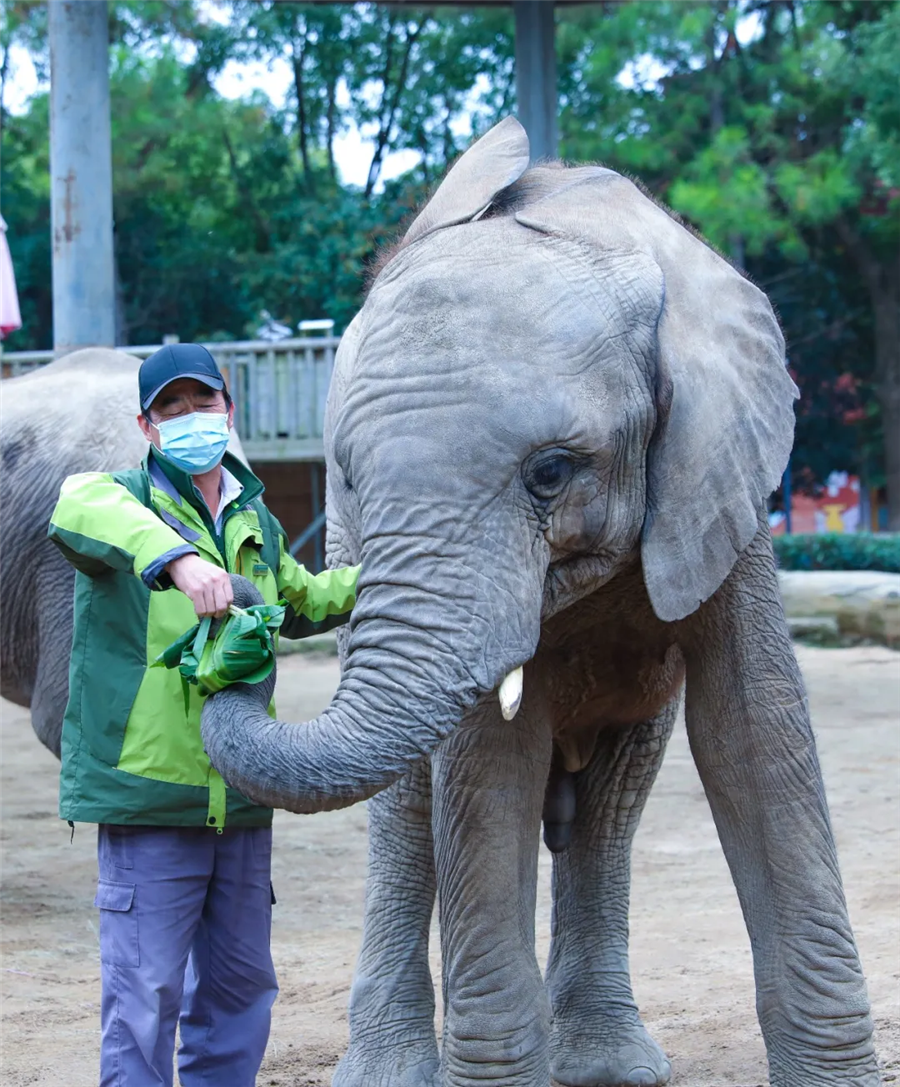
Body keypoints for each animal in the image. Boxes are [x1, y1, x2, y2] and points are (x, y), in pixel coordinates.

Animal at [198, 119, 878, 1087]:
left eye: (551, 472)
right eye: (354, 480)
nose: (239, 604)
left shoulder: (723, 472)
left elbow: (753, 732)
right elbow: (488, 766)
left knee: (613, 800)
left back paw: (604, 1063)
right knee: (412, 808)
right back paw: (394, 1070)